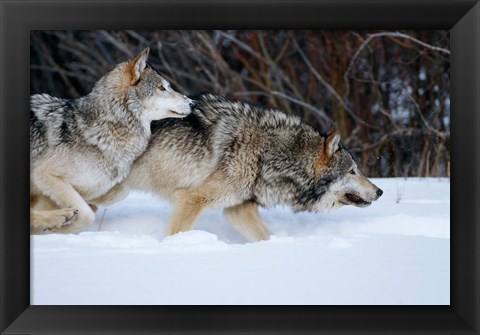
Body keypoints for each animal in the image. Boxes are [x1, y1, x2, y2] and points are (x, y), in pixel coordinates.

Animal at [30, 48, 195, 234]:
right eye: (162, 88)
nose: (193, 103)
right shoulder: (43, 174)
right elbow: (87, 215)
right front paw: (58, 228)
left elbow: (86, 212)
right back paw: (60, 217)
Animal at [95, 94, 384, 242]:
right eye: (352, 171)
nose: (380, 191)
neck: (268, 154)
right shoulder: (191, 199)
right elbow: (176, 233)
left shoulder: (238, 208)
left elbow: (266, 236)